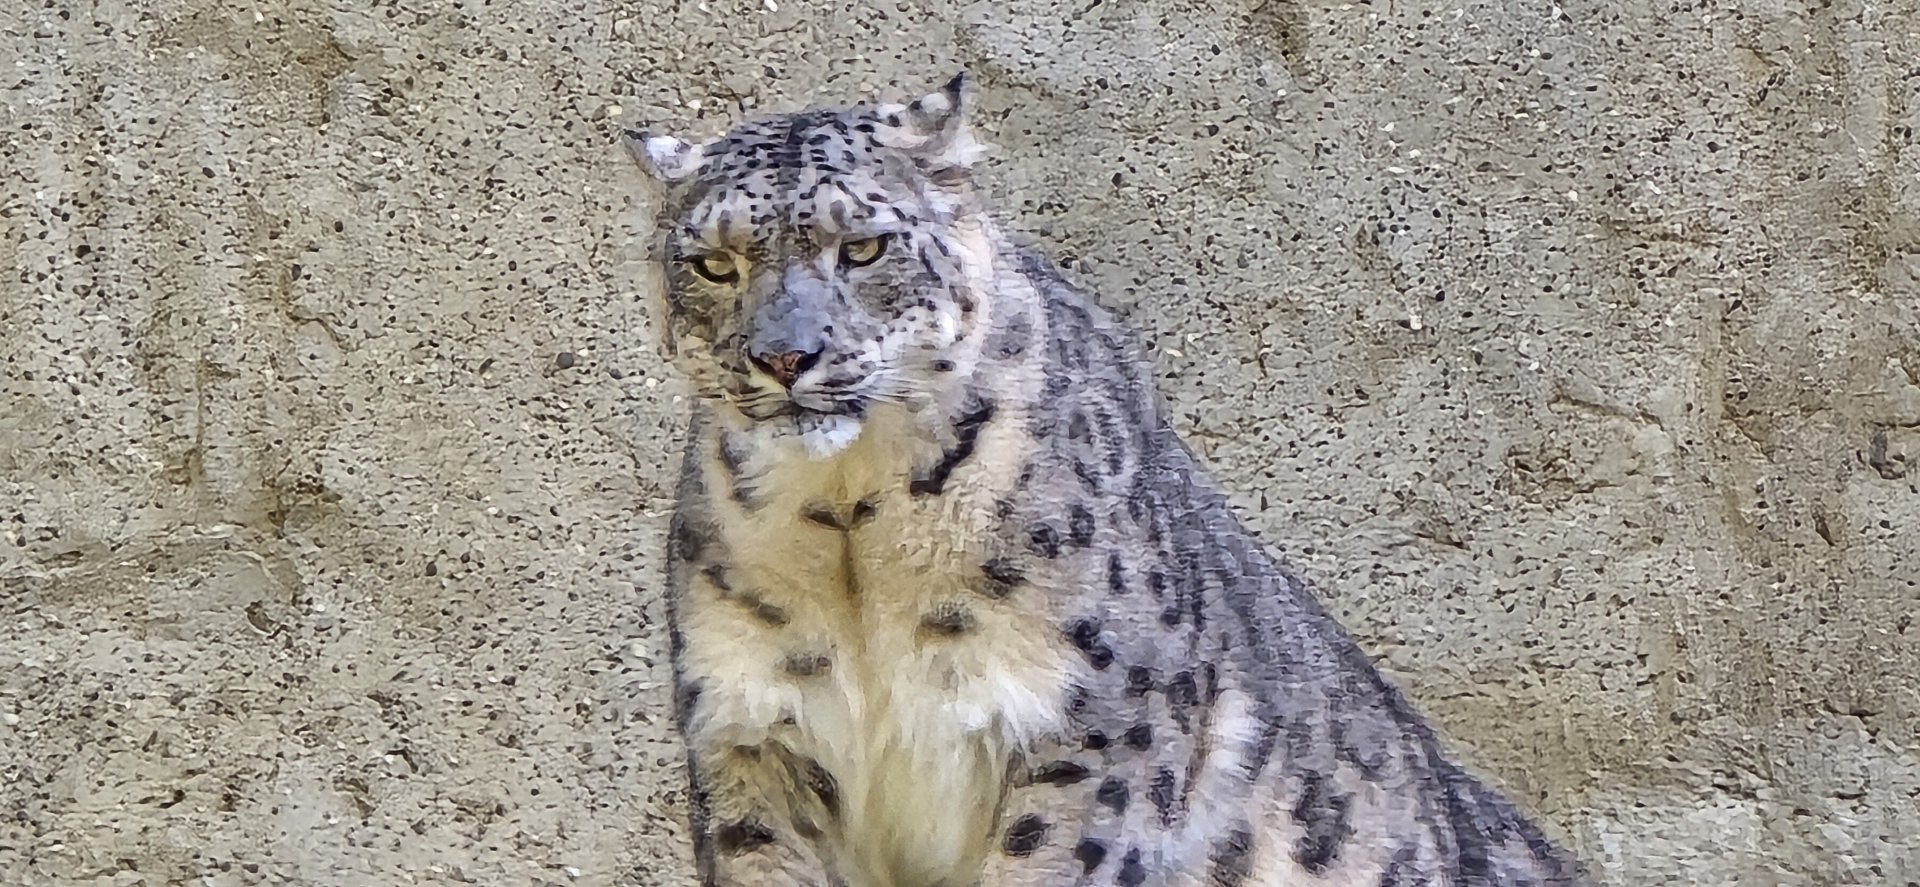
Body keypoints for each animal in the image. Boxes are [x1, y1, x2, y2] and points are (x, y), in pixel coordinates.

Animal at [618, 72, 1588, 887]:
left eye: (862, 247)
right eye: (714, 263)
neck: (850, 523)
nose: (784, 356)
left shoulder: (1096, 723)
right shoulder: (754, 735)